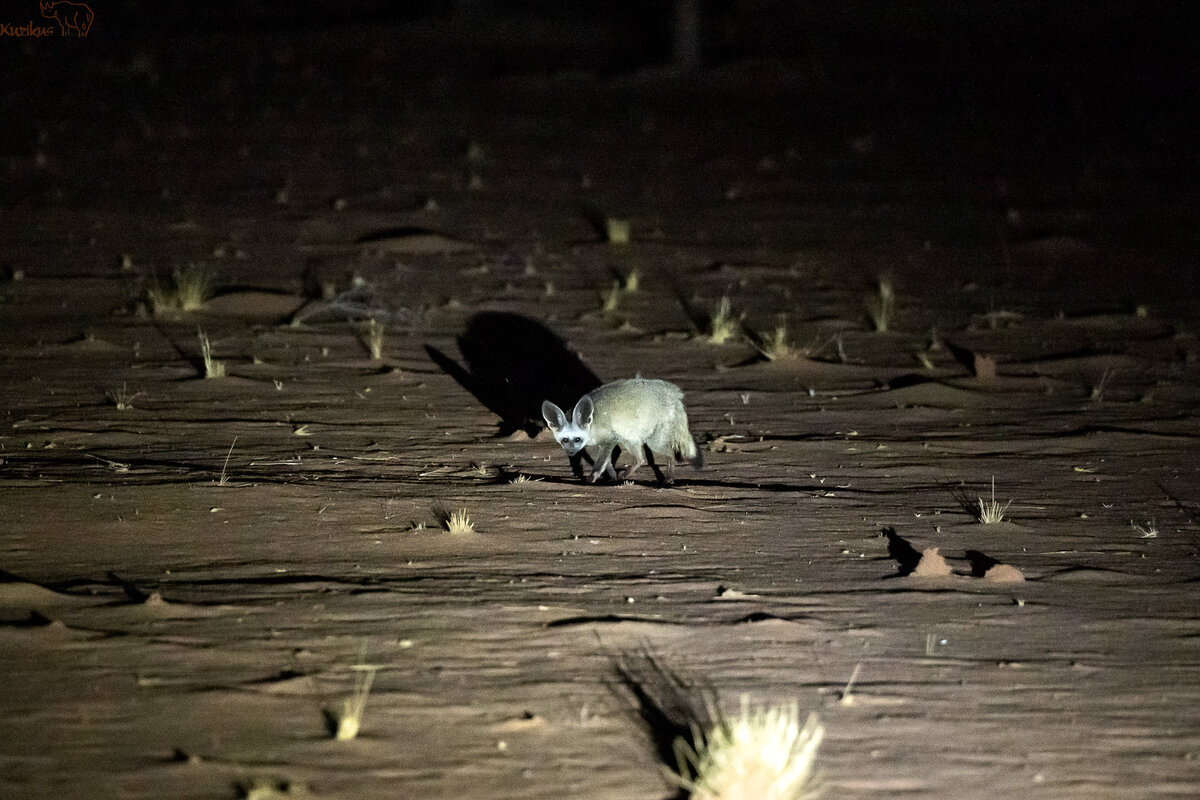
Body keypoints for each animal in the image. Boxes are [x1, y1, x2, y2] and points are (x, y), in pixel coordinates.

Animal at [541, 378, 703, 486]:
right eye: (564, 440)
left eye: (577, 439)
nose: (570, 453)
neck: (591, 424)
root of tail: (673, 394)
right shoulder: (597, 442)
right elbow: (606, 461)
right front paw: (612, 473)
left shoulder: (608, 437)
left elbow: (601, 461)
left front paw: (593, 476)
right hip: (630, 435)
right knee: (639, 458)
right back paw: (627, 472)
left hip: (655, 433)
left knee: (667, 451)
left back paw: (669, 473)